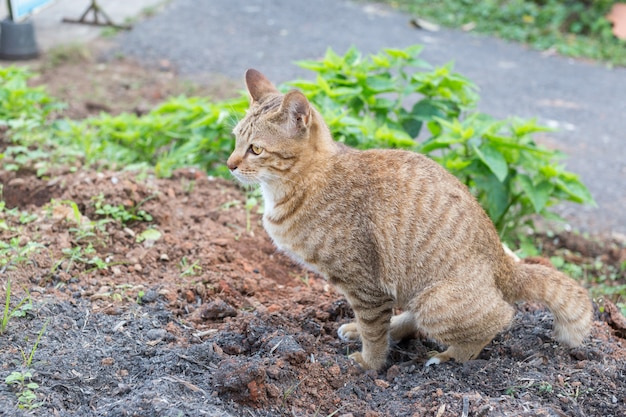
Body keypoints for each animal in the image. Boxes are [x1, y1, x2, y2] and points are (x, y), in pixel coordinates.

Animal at [227, 68, 592, 370]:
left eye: (255, 149)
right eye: (235, 140)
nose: (229, 164)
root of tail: (505, 264)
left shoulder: (366, 286)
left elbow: (374, 333)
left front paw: (369, 364)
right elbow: (375, 326)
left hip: (435, 302)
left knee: (500, 318)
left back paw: (448, 356)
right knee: (412, 316)